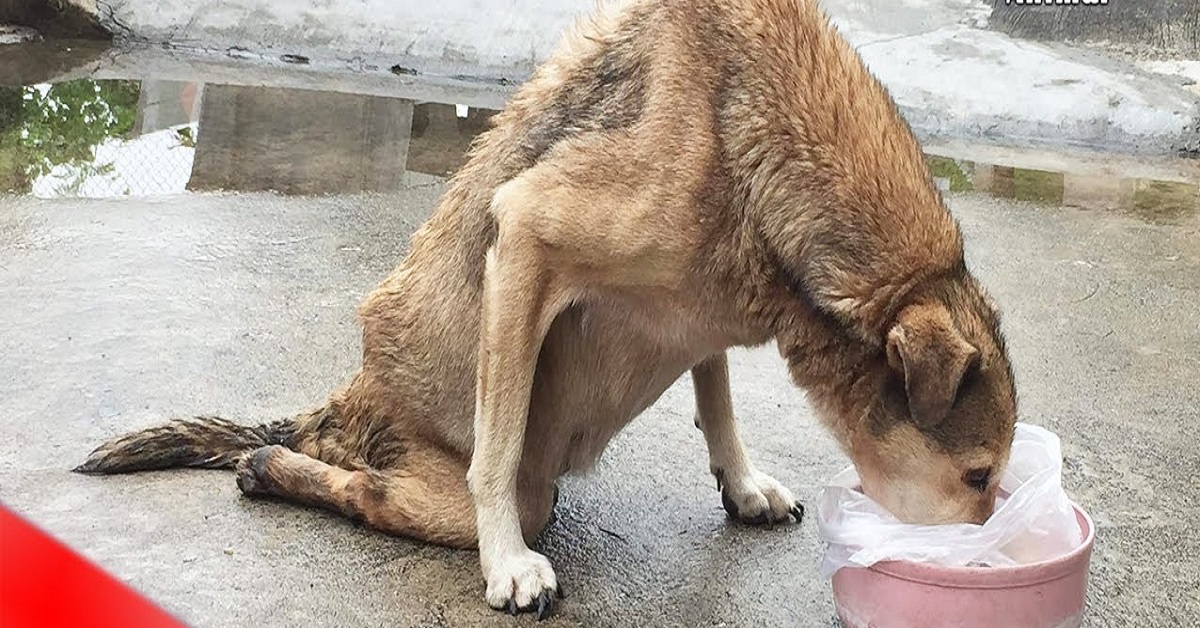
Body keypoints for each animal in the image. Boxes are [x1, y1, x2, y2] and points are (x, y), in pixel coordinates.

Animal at [75, 0, 1017, 619]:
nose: (987, 553)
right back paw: (273, 468)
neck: (747, 135)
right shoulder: (524, 237)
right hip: (460, 464)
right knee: (383, 488)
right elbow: (497, 450)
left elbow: (717, 401)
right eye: (978, 477)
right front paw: (506, 564)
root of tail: (344, 402)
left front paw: (743, 486)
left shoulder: (703, 315)